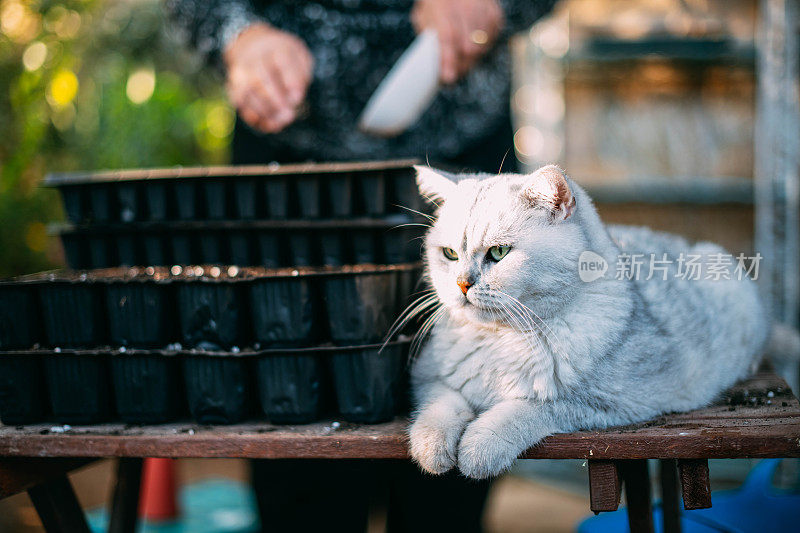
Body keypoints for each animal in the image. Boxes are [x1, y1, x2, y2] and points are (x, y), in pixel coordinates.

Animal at [406, 165, 768, 478]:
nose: (461, 284)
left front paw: (479, 447)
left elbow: (525, 409)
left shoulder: (609, 404)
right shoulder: (428, 377)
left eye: (499, 252)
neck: (503, 339)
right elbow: (440, 406)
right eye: (450, 254)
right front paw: (432, 447)